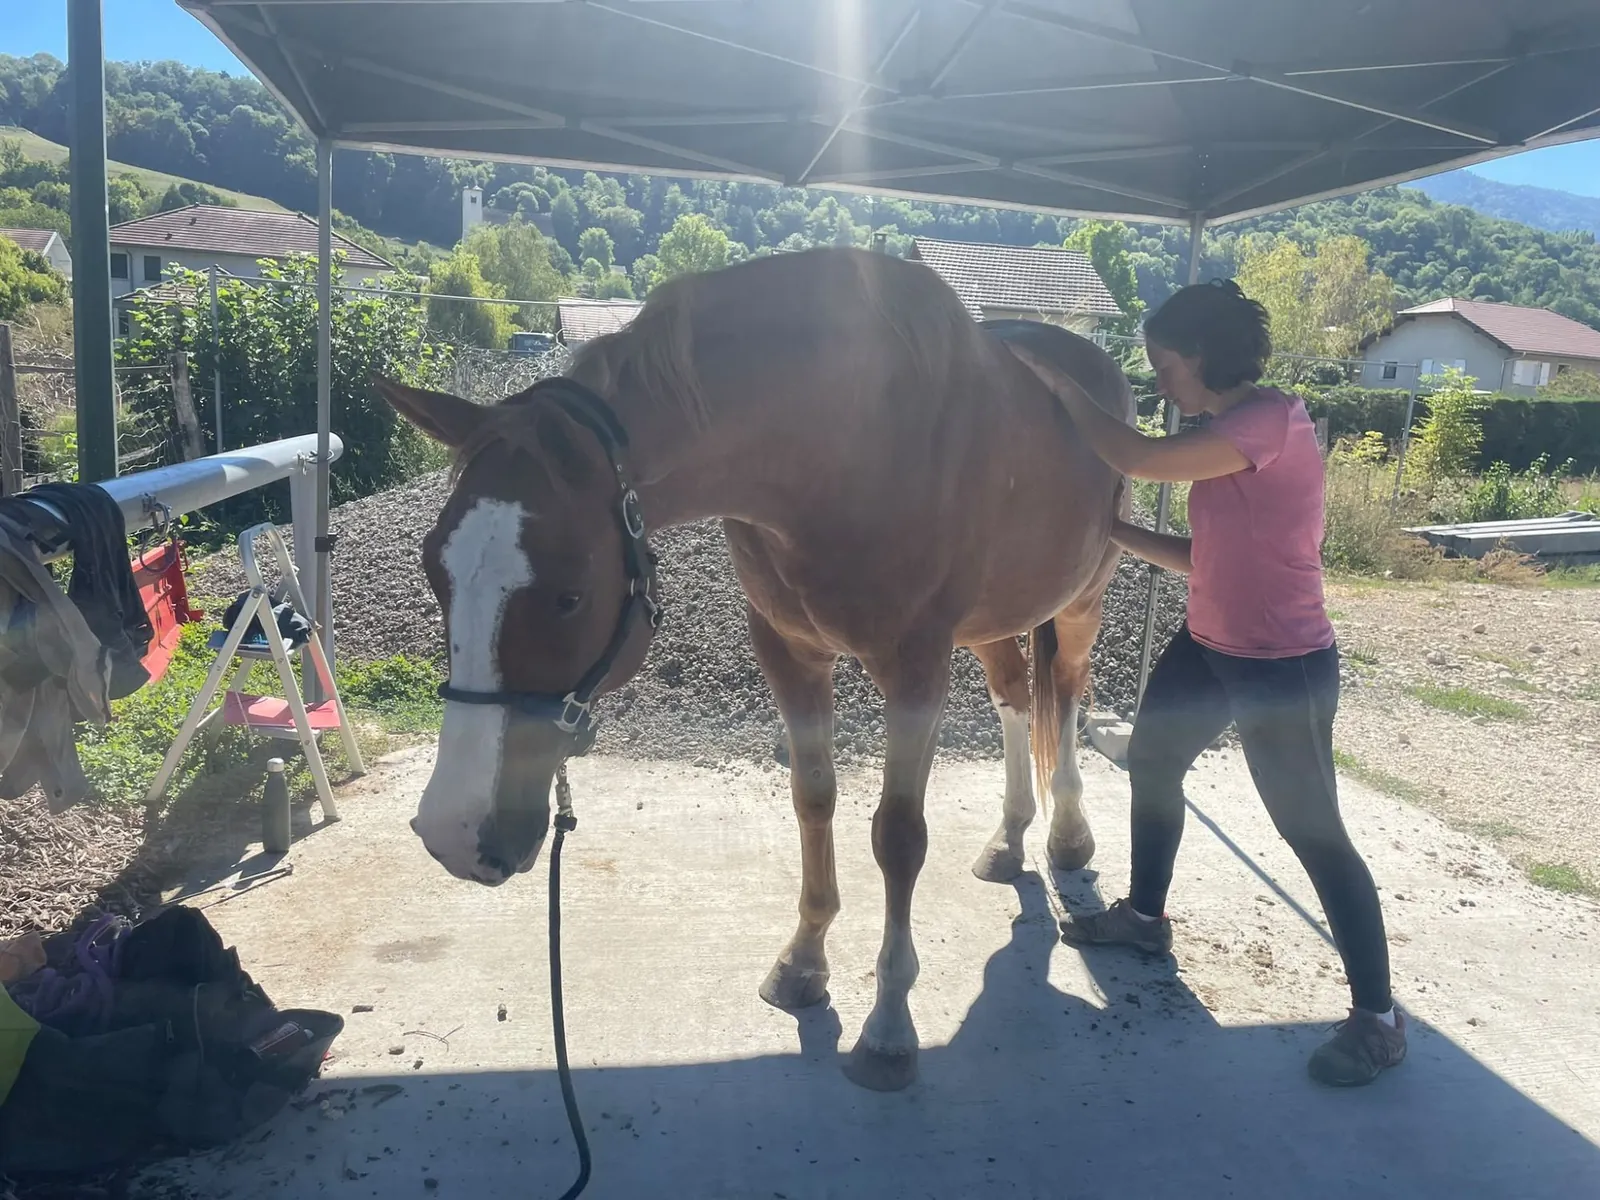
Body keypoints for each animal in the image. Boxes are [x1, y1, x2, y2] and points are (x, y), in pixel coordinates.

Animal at [376, 245, 1135, 1091]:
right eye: (434, 571)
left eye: (570, 595)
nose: (454, 831)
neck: (842, 445)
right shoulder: (789, 653)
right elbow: (814, 800)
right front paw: (804, 962)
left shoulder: (915, 668)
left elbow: (898, 835)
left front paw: (889, 1026)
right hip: (992, 622)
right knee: (1013, 696)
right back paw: (1009, 838)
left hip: (1080, 604)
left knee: (1063, 696)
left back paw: (1068, 836)